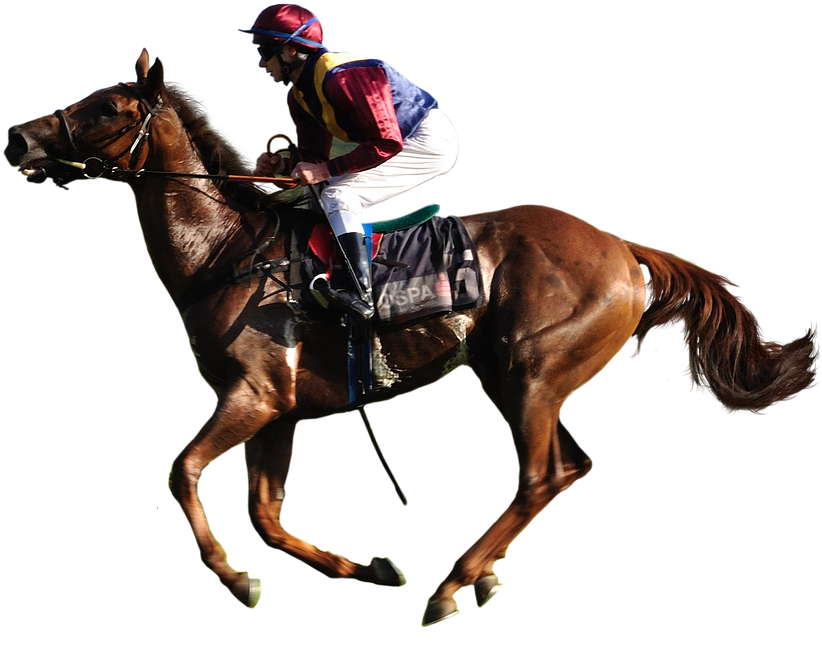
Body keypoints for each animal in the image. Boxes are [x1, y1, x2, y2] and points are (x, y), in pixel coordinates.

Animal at [5, 48, 817, 626]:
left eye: (106, 105)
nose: (18, 138)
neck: (224, 249)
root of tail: (622, 248)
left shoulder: (253, 396)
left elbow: (184, 473)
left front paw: (236, 581)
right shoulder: (279, 409)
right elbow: (266, 515)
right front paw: (364, 567)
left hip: (533, 372)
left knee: (541, 474)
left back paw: (453, 585)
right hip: (514, 375)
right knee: (570, 467)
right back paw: (479, 574)